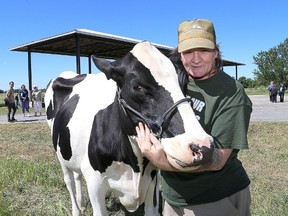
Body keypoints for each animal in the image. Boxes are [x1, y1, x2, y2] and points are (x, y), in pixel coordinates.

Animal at [45, 41, 215, 215]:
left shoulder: (153, 182)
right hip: (60, 154)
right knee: (69, 180)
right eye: (137, 86)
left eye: (184, 82)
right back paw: (76, 208)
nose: (203, 146)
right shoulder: (94, 182)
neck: (134, 166)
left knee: (77, 175)